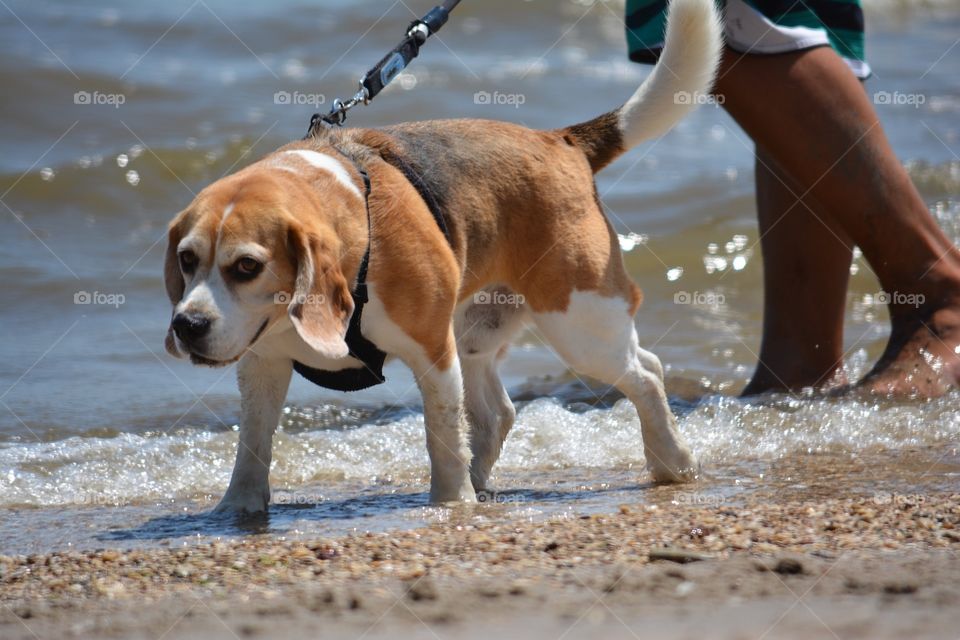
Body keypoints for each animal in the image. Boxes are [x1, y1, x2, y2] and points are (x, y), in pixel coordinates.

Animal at [165, 0, 720, 512]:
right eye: (188, 261)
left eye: (246, 266)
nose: (187, 325)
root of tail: (560, 141)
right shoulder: (263, 364)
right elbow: (252, 445)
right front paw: (237, 508)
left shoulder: (433, 351)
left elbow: (443, 437)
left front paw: (451, 503)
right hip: (480, 333)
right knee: (505, 411)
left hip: (577, 322)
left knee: (645, 375)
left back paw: (673, 460)